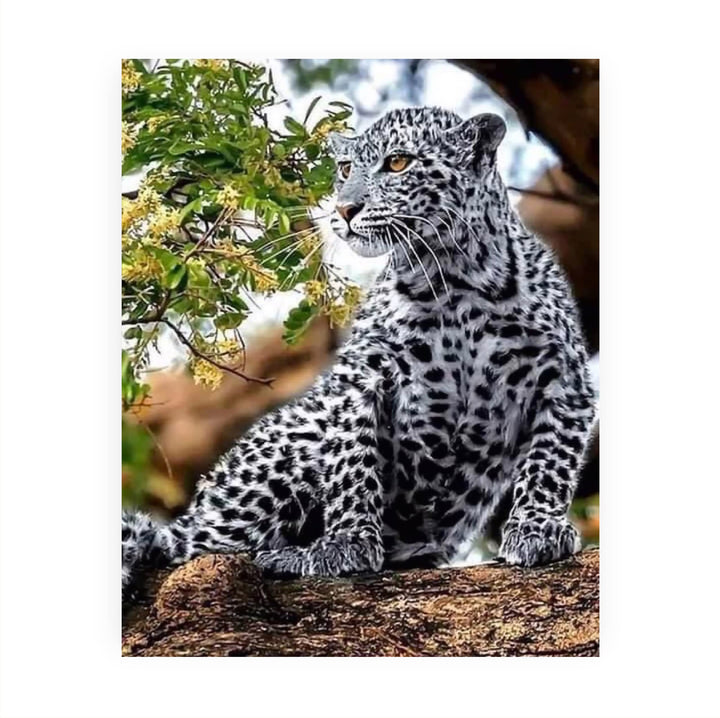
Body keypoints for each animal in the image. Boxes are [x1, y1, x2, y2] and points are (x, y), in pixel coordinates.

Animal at [122, 106, 597, 595]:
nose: (345, 209)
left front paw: (538, 528)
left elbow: (551, 460)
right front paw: (346, 543)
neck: (454, 277)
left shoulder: (565, 378)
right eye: (346, 169)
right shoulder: (361, 376)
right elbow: (352, 461)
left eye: (398, 163)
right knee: (186, 548)